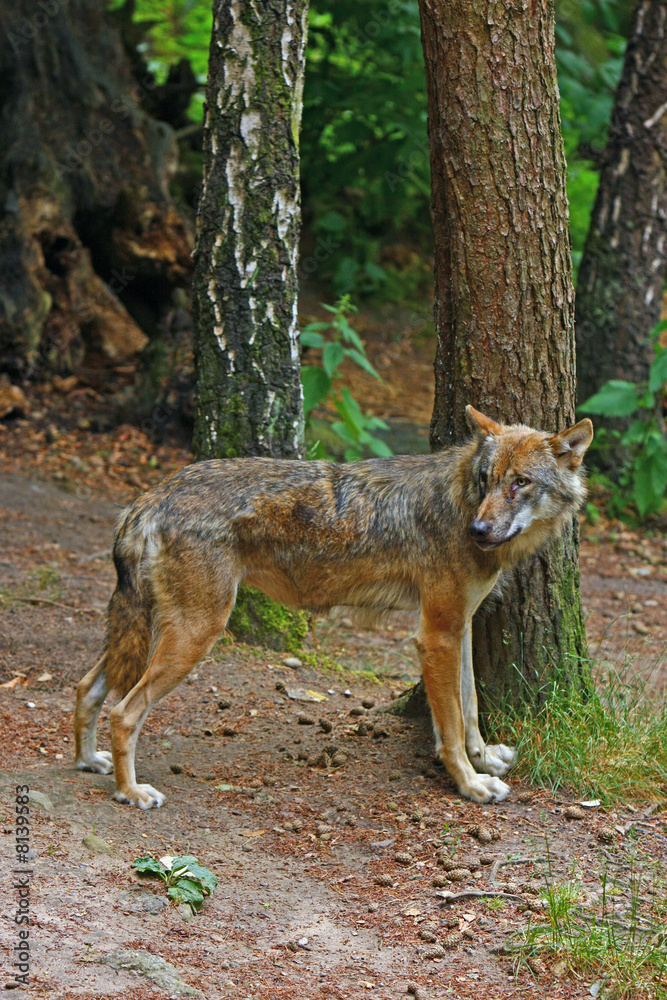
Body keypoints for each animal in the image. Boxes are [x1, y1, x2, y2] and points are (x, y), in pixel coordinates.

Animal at [73, 406, 593, 809]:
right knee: (124, 712)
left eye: (520, 483)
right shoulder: (435, 636)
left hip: (149, 631)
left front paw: (485, 761)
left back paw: (88, 761)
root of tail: (152, 495)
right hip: (195, 634)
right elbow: (449, 727)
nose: (479, 531)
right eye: (487, 480)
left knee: (86, 686)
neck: (460, 501)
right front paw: (470, 784)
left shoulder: (458, 627)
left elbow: (470, 709)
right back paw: (131, 792)